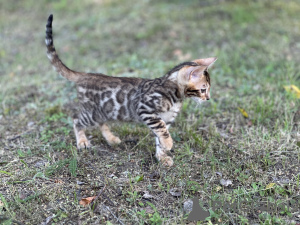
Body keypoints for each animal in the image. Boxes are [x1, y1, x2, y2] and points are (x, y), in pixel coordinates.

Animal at [45, 14, 218, 165]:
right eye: (203, 89)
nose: (208, 98)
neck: (174, 94)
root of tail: (86, 75)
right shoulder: (146, 109)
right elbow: (161, 129)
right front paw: (168, 144)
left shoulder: (167, 118)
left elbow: (159, 137)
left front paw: (161, 156)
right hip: (91, 112)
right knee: (76, 120)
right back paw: (82, 141)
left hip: (104, 110)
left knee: (101, 123)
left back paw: (111, 139)